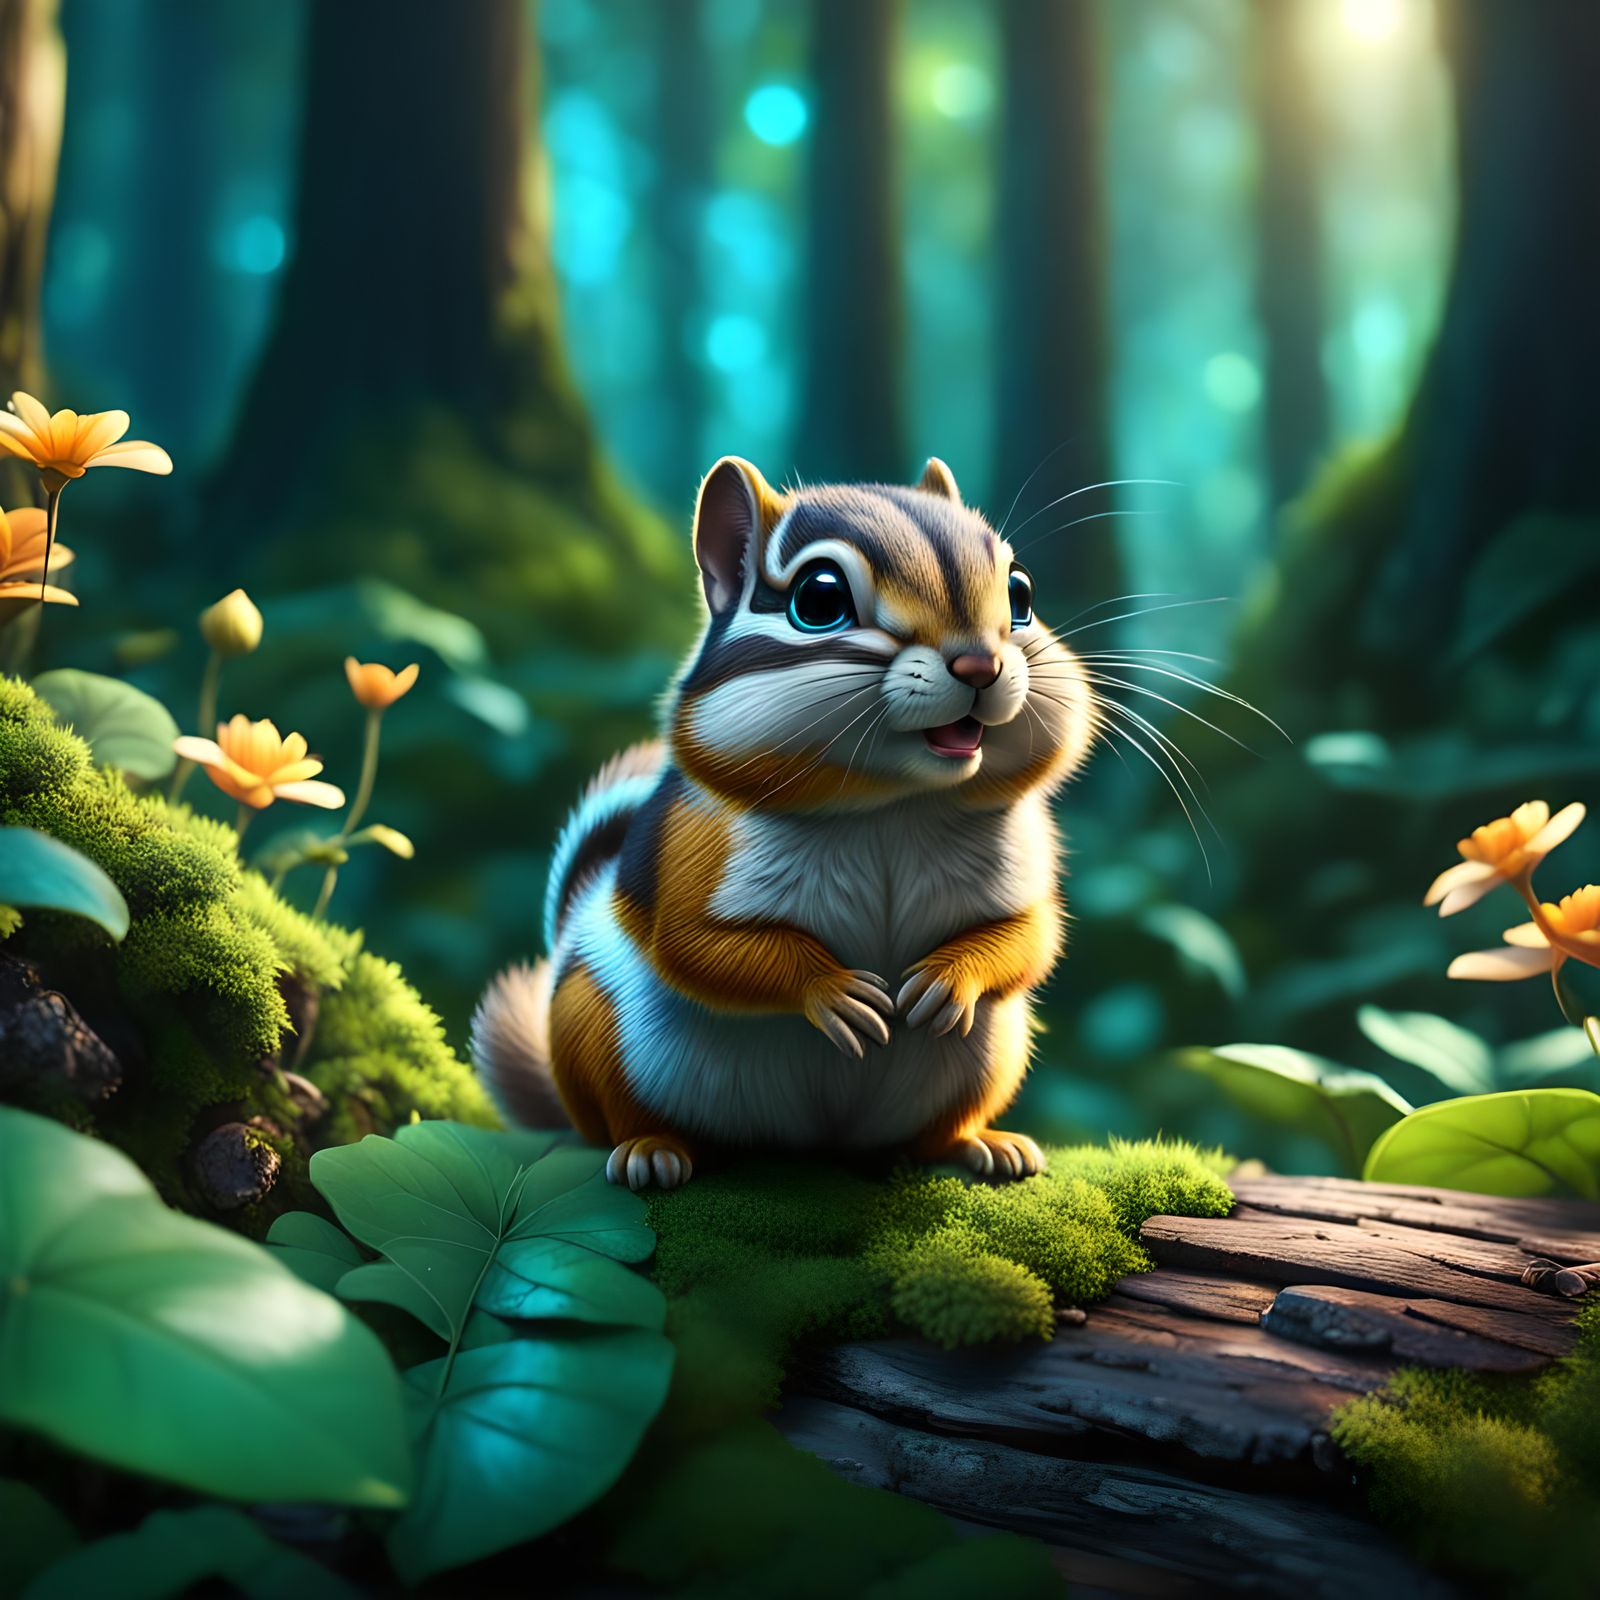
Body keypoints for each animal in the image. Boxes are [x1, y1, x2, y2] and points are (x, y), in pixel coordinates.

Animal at [471, 455, 1095, 1190]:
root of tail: (817, 1145)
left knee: (937, 1131)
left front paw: (949, 979)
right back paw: (651, 1151)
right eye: (819, 600)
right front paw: (835, 990)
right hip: (588, 1023)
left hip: (995, 1052)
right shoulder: (694, 860)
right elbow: (699, 947)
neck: (896, 806)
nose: (980, 663)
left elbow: (1030, 934)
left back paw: (984, 1146)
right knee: (616, 1120)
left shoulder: (1024, 864)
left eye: (1021, 594)